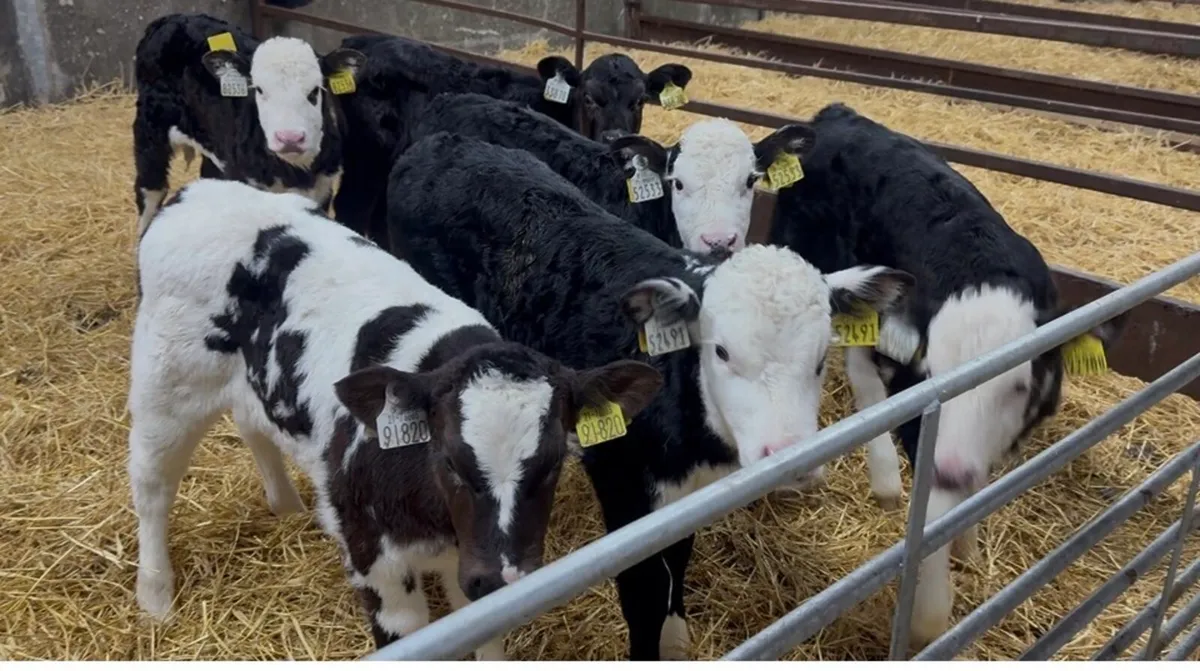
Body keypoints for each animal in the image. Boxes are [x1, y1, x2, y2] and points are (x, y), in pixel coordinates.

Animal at [128, 178, 663, 657]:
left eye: (553, 464)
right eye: (448, 461)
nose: (502, 577)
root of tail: (196, 191)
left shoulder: (471, 567)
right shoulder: (376, 561)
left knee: (251, 425)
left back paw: (287, 506)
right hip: (166, 386)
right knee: (152, 486)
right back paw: (155, 595)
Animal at [132, 13, 365, 237]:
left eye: (315, 90)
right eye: (259, 89)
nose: (289, 138)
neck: (295, 173)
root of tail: (172, 19)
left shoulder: (323, 188)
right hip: (149, 133)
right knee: (150, 192)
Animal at [382, 132, 915, 659]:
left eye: (823, 355)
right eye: (721, 350)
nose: (788, 456)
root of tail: (438, 144)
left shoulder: (687, 495)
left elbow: (676, 556)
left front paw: (675, 634)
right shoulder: (623, 484)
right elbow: (643, 591)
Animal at [770, 102, 1125, 646]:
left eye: (1018, 386)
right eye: (929, 376)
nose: (951, 470)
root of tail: (836, 115)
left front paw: (969, 544)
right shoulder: (921, 426)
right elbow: (931, 528)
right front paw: (926, 623)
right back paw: (884, 479)